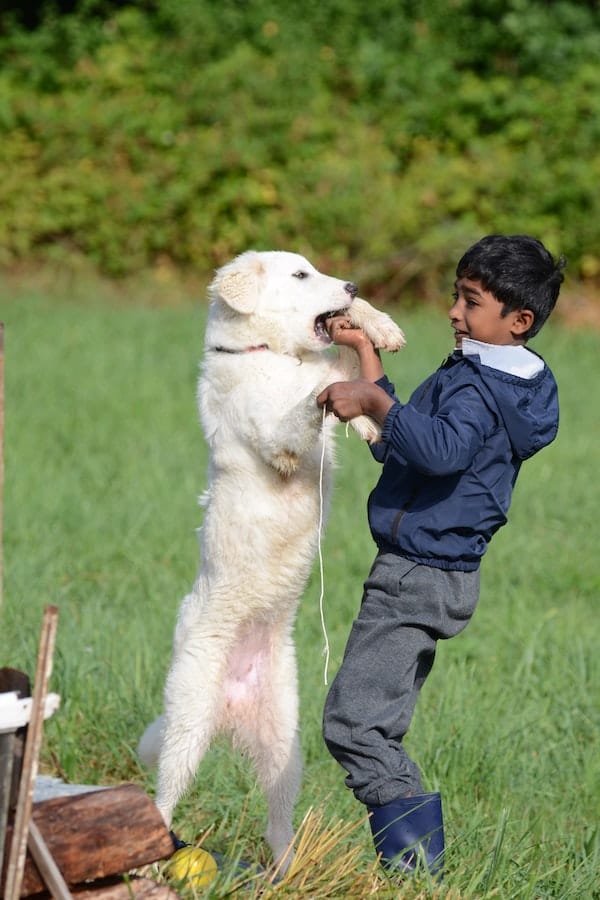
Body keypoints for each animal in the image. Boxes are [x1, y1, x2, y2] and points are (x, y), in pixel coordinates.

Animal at [138, 250, 406, 868]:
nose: (352, 281)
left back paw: (287, 872)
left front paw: (378, 327)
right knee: (163, 798)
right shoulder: (278, 436)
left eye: (317, 270)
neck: (270, 354)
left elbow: (343, 368)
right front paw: (343, 394)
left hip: (287, 745)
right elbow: (317, 393)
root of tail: (231, 710)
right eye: (301, 275)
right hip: (187, 726)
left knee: (277, 823)